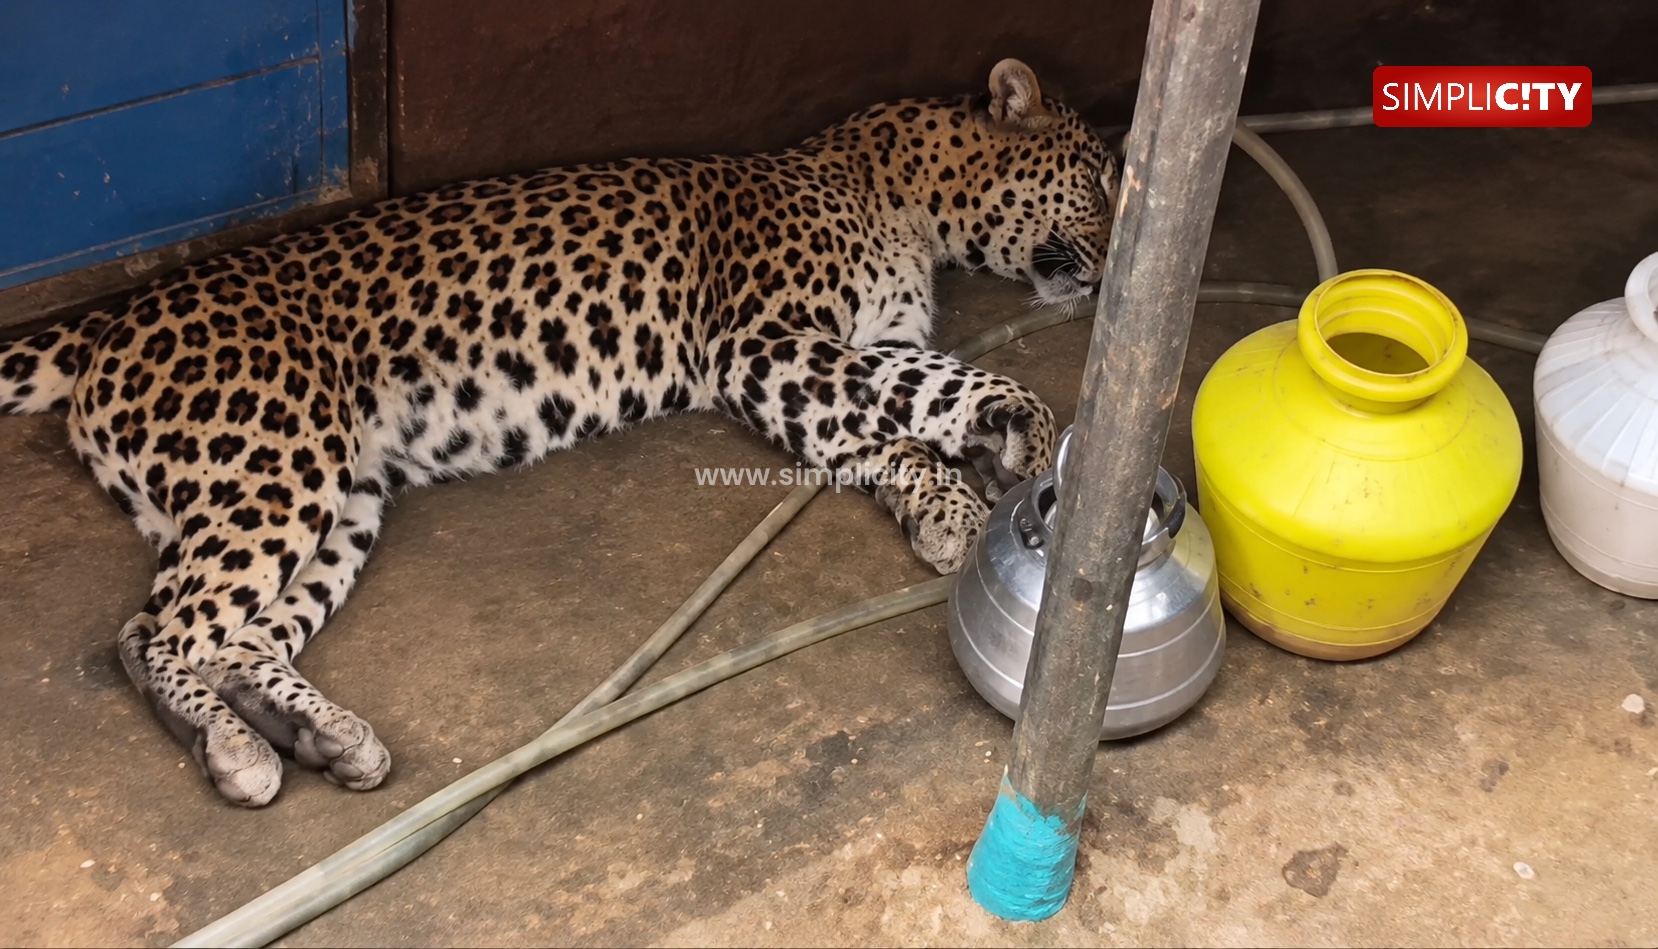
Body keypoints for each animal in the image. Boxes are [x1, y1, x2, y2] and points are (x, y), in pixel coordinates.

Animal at [0, 59, 1119, 807]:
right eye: (1101, 179)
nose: (1116, 261)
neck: (904, 199)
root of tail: (115, 313)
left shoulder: (814, 367)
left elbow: (894, 423)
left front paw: (956, 496)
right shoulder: (760, 345)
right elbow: (925, 395)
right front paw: (1019, 438)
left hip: (341, 494)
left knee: (236, 635)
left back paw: (324, 739)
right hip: (278, 464)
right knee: (154, 631)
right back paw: (237, 754)